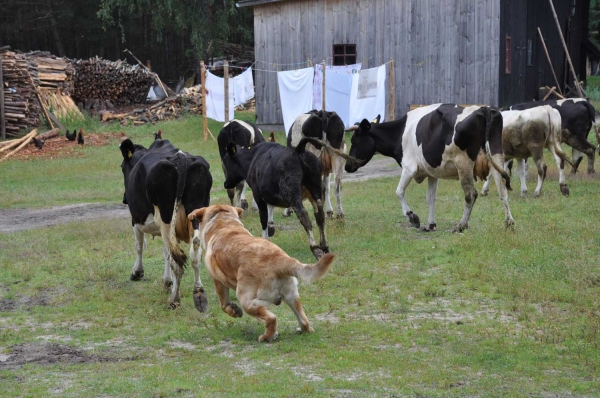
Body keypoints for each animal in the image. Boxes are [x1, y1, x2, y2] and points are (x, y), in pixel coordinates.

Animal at [118, 138, 212, 310]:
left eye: (122, 167)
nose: (124, 199)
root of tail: (181, 157)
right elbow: (165, 252)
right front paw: (167, 281)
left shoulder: (136, 219)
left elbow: (140, 246)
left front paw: (137, 272)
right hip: (195, 214)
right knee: (194, 253)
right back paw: (199, 293)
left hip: (166, 218)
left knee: (177, 259)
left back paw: (175, 299)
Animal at [189, 205, 332, 342]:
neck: (224, 222)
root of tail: (278, 259)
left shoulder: (217, 280)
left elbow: (224, 304)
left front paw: (234, 311)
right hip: (292, 296)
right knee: (303, 320)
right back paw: (300, 330)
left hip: (247, 301)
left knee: (272, 318)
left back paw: (266, 337)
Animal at [344, 104, 512, 232]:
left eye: (354, 141)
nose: (347, 166)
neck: (400, 132)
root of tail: (482, 109)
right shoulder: (432, 171)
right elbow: (430, 197)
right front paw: (431, 224)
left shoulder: (409, 167)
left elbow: (399, 191)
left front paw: (413, 217)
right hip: (496, 155)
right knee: (502, 189)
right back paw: (509, 222)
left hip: (463, 162)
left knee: (470, 194)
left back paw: (461, 225)